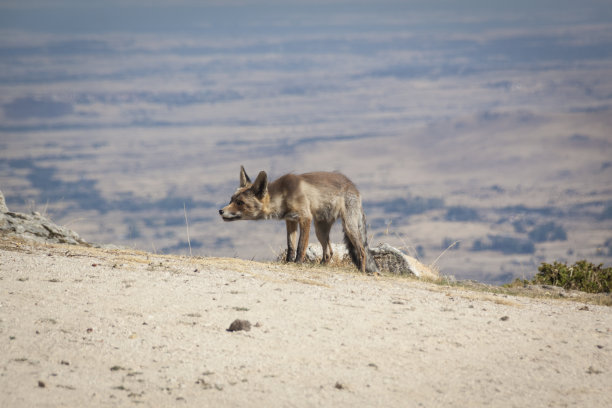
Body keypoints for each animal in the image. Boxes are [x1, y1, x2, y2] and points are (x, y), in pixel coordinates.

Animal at [218, 166, 380, 274]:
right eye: (231, 199)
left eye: (240, 203)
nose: (220, 211)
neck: (284, 195)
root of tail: (353, 186)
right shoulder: (290, 220)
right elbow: (291, 246)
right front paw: (289, 262)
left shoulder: (305, 218)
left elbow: (301, 246)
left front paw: (297, 263)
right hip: (320, 229)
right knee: (329, 252)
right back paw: (321, 266)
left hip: (348, 226)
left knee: (361, 251)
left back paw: (362, 271)